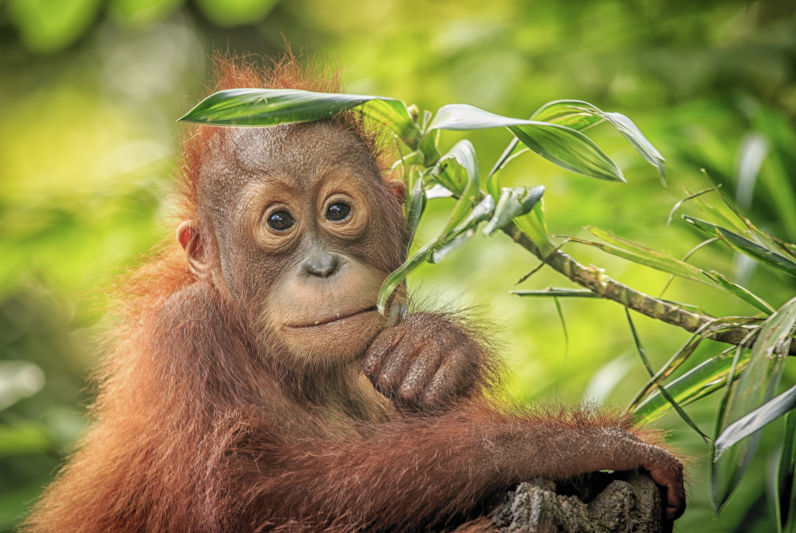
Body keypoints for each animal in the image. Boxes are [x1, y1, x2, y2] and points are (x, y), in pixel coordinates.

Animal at [23, 57, 684, 532]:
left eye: (338, 211)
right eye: (279, 222)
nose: (321, 266)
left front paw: (432, 354)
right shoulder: (185, 336)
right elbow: (251, 497)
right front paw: (571, 446)